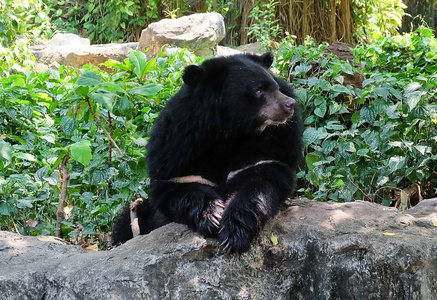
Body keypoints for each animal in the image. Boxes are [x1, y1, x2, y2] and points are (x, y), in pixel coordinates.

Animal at [112, 52, 302, 253]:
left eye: (275, 86)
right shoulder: (178, 147)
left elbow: (261, 181)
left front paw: (234, 232)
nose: (289, 104)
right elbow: (180, 187)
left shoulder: (273, 144)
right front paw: (212, 216)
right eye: (258, 90)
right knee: (128, 221)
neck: (231, 131)